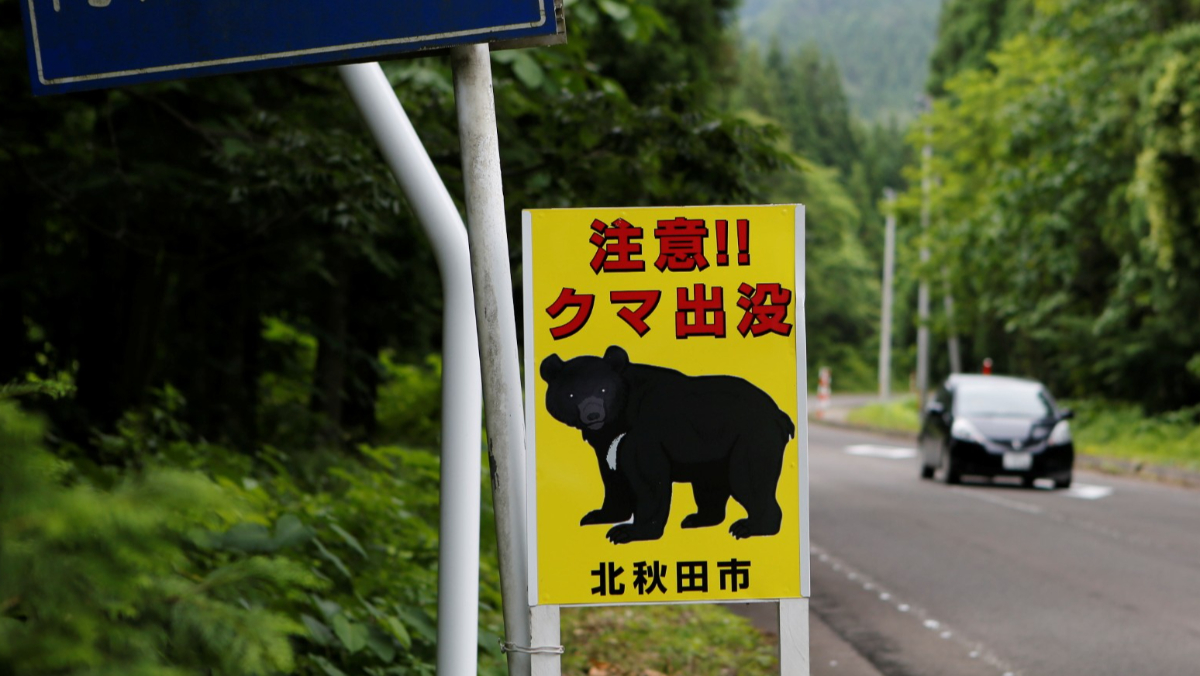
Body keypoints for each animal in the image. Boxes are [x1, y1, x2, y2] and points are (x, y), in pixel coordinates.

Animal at [539, 344, 794, 544]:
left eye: (603, 389)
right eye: (572, 394)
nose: (593, 414)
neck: (619, 418)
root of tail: (780, 415)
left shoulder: (643, 434)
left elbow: (648, 480)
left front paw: (627, 532)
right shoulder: (609, 444)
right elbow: (613, 477)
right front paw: (598, 515)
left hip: (752, 439)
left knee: (749, 479)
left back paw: (749, 527)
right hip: (714, 452)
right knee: (710, 486)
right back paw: (698, 518)